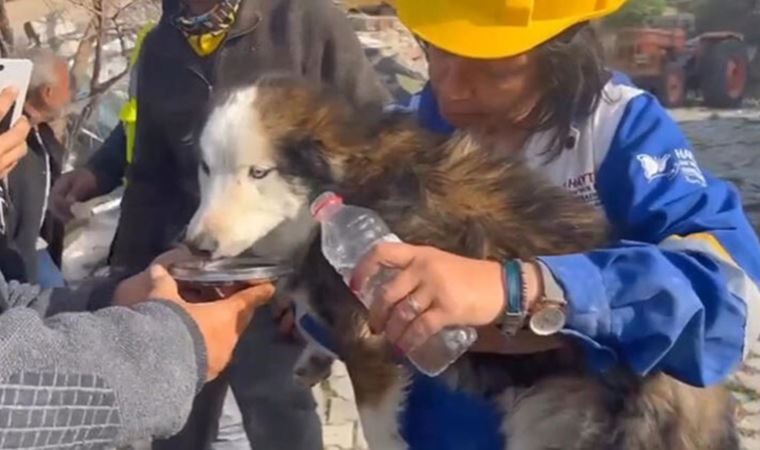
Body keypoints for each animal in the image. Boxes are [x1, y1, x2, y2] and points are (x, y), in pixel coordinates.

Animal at [184, 75, 736, 448]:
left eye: (259, 173)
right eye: (206, 169)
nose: (195, 245)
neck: (341, 182)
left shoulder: (372, 338)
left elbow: (377, 421)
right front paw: (313, 355)